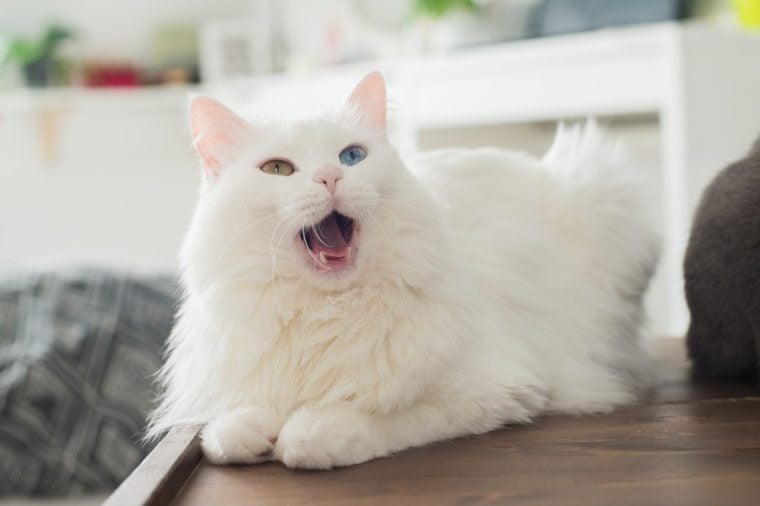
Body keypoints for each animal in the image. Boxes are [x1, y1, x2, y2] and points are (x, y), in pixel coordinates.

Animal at [148, 72, 660, 470]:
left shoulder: (500, 389)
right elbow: (224, 433)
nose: (330, 178)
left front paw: (309, 433)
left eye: (352, 156)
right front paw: (253, 431)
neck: (326, 311)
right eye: (277, 169)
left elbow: (382, 417)